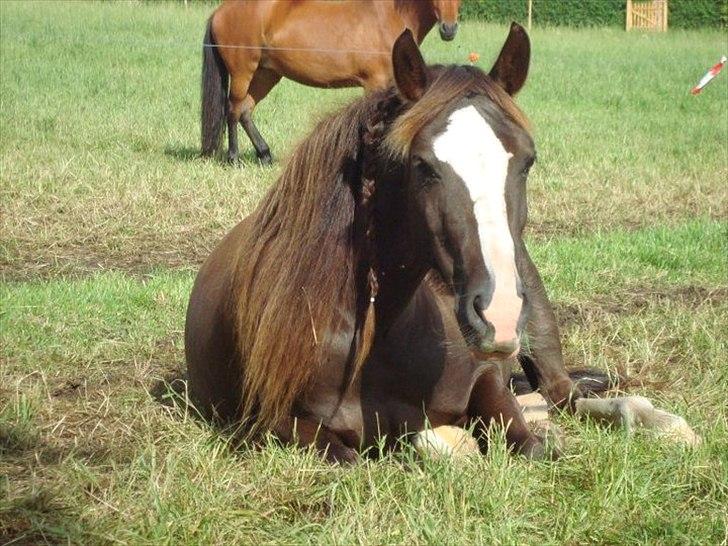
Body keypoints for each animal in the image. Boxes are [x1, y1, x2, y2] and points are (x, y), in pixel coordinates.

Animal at [186, 24, 604, 460]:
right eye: (422, 165)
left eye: (527, 161)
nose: (499, 313)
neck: (380, 335)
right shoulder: (270, 421)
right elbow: (350, 456)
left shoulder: (486, 375)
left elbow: (523, 439)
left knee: (564, 394)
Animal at [199, 0, 460, 164]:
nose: (449, 29)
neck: (388, 16)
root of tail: (220, 11)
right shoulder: (375, 84)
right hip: (243, 71)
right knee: (233, 110)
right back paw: (233, 157)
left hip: (266, 74)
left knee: (245, 111)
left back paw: (264, 155)